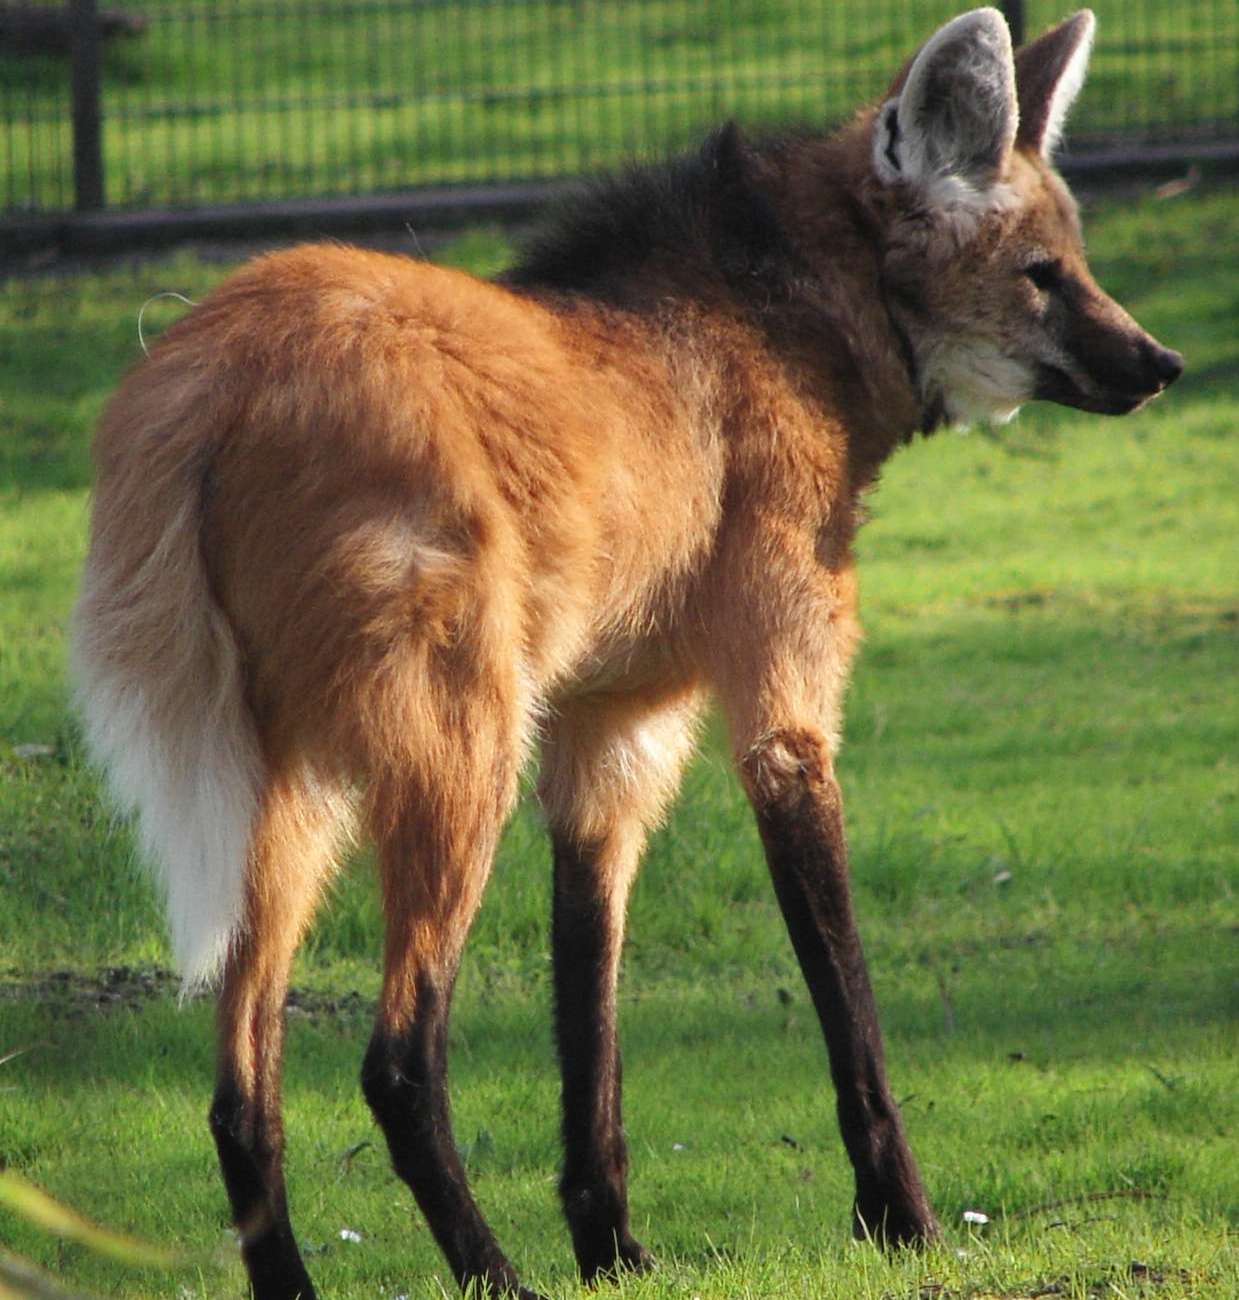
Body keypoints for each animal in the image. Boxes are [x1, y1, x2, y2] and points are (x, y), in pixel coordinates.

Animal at [72, 8, 1181, 1298]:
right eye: (1041, 273)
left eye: (1078, 264)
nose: (1161, 365)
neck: (788, 326)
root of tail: (204, 377)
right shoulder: (779, 711)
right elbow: (846, 1003)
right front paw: (900, 1218)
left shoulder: (613, 727)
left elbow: (589, 1015)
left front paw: (613, 1250)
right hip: (460, 751)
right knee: (397, 1057)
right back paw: (496, 1275)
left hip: (288, 785)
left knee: (243, 1086)